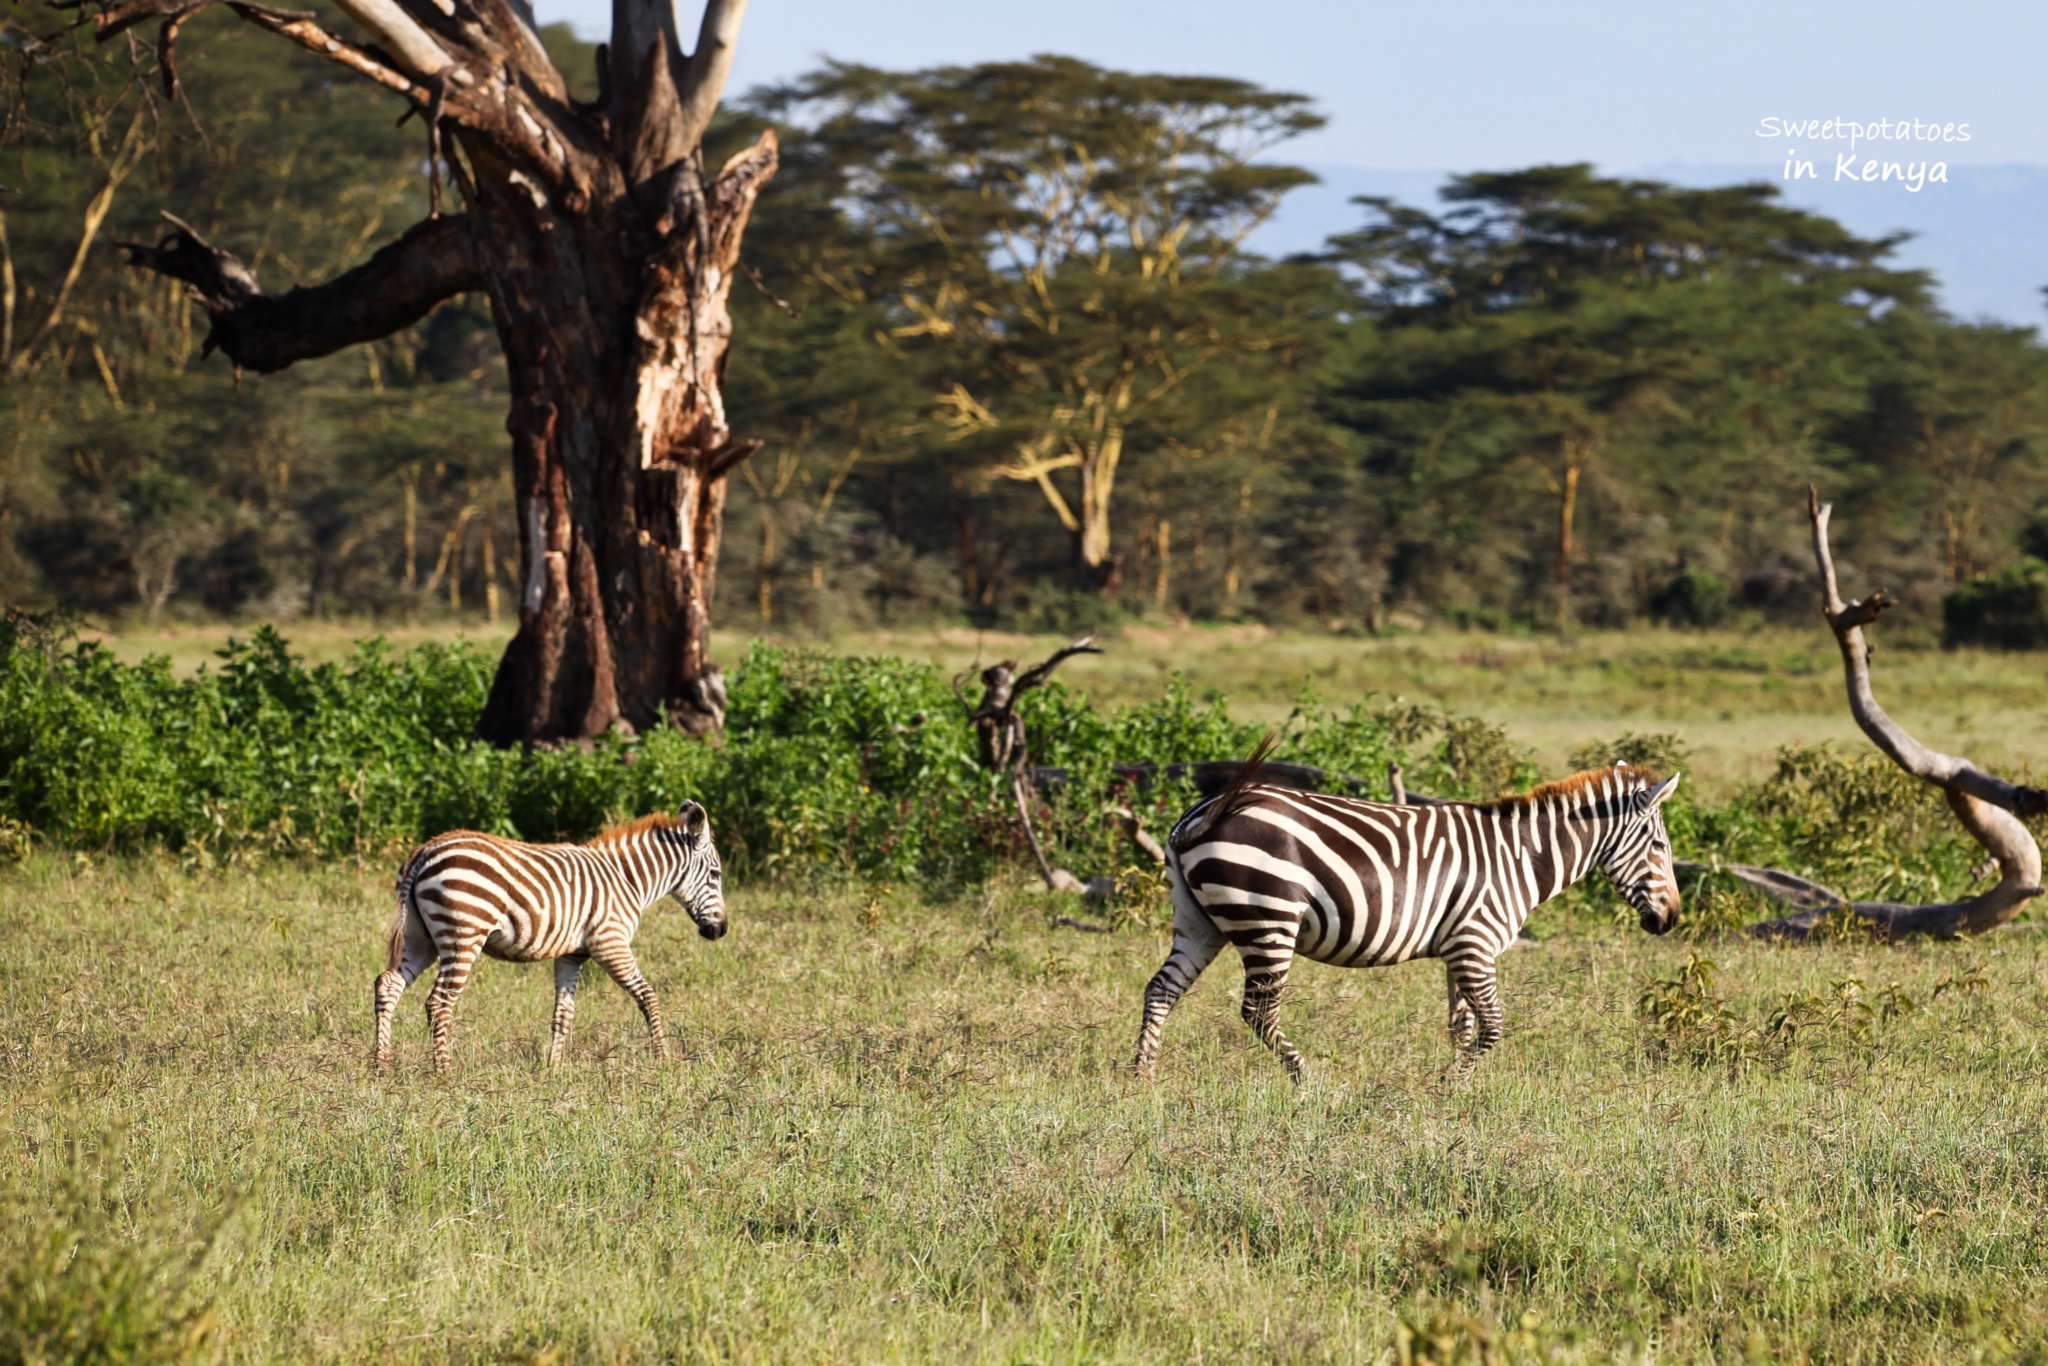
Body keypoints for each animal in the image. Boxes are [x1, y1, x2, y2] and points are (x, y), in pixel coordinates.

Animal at [376, 802, 729, 1081]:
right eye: (715, 875)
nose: (721, 930)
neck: (628, 880)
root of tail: (426, 850)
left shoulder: (573, 954)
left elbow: (564, 1013)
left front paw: (554, 1068)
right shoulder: (610, 944)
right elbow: (648, 996)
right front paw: (662, 1059)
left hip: (421, 938)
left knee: (388, 985)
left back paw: (382, 1067)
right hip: (463, 934)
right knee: (439, 1002)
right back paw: (444, 1072)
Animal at [1138, 753, 1679, 1081]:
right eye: (1659, 846)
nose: (1670, 920)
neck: (1521, 856)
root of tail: (1200, 811)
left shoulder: (1459, 949)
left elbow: (1462, 1026)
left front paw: (1455, 1089)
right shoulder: (1475, 943)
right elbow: (1494, 1025)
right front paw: (1452, 1082)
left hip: (1199, 922)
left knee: (1161, 989)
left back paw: (1143, 1077)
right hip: (1269, 918)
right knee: (1258, 1012)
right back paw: (1307, 1078)